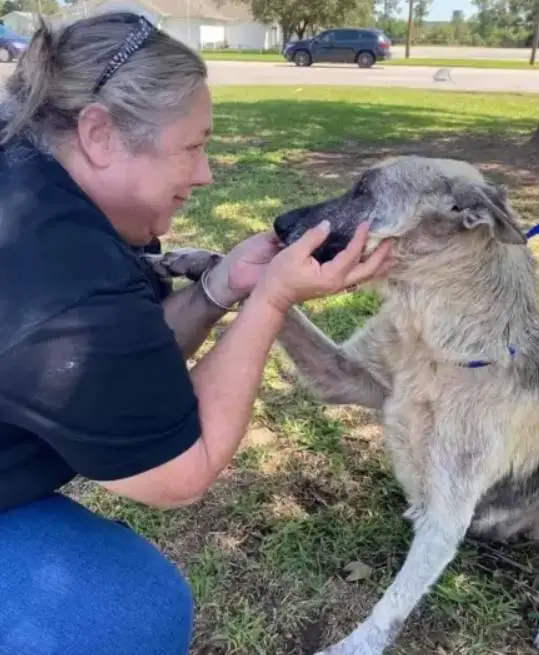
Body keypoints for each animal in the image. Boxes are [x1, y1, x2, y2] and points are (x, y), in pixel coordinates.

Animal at [151, 158, 539, 655]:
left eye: (363, 189)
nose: (278, 224)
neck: (434, 337)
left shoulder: (447, 515)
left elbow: (392, 607)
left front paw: (352, 647)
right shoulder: (342, 375)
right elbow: (264, 290)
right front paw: (197, 258)